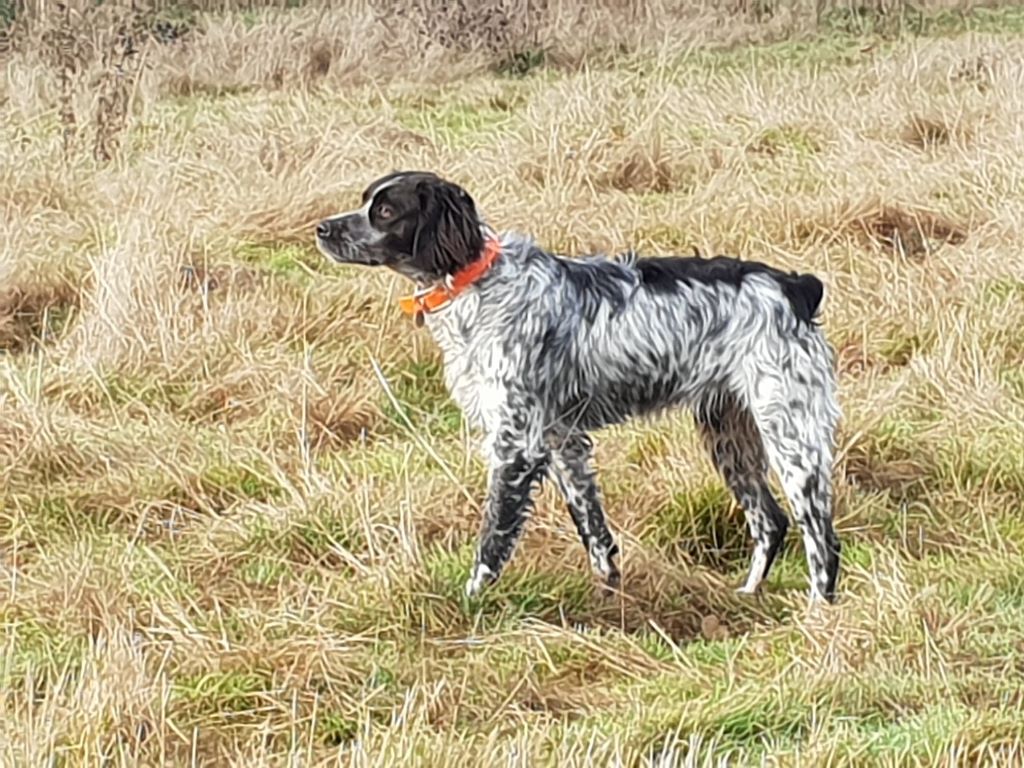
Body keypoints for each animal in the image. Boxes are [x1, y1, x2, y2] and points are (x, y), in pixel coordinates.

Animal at [315, 171, 843, 606]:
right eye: (364, 201)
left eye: (385, 211)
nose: (322, 228)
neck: (481, 286)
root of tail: (796, 287)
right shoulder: (562, 440)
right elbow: (594, 532)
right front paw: (610, 600)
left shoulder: (517, 445)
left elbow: (493, 537)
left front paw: (470, 602)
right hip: (730, 435)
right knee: (770, 521)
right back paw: (748, 596)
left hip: (791, 436)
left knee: (822, 540)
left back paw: (817, 617)